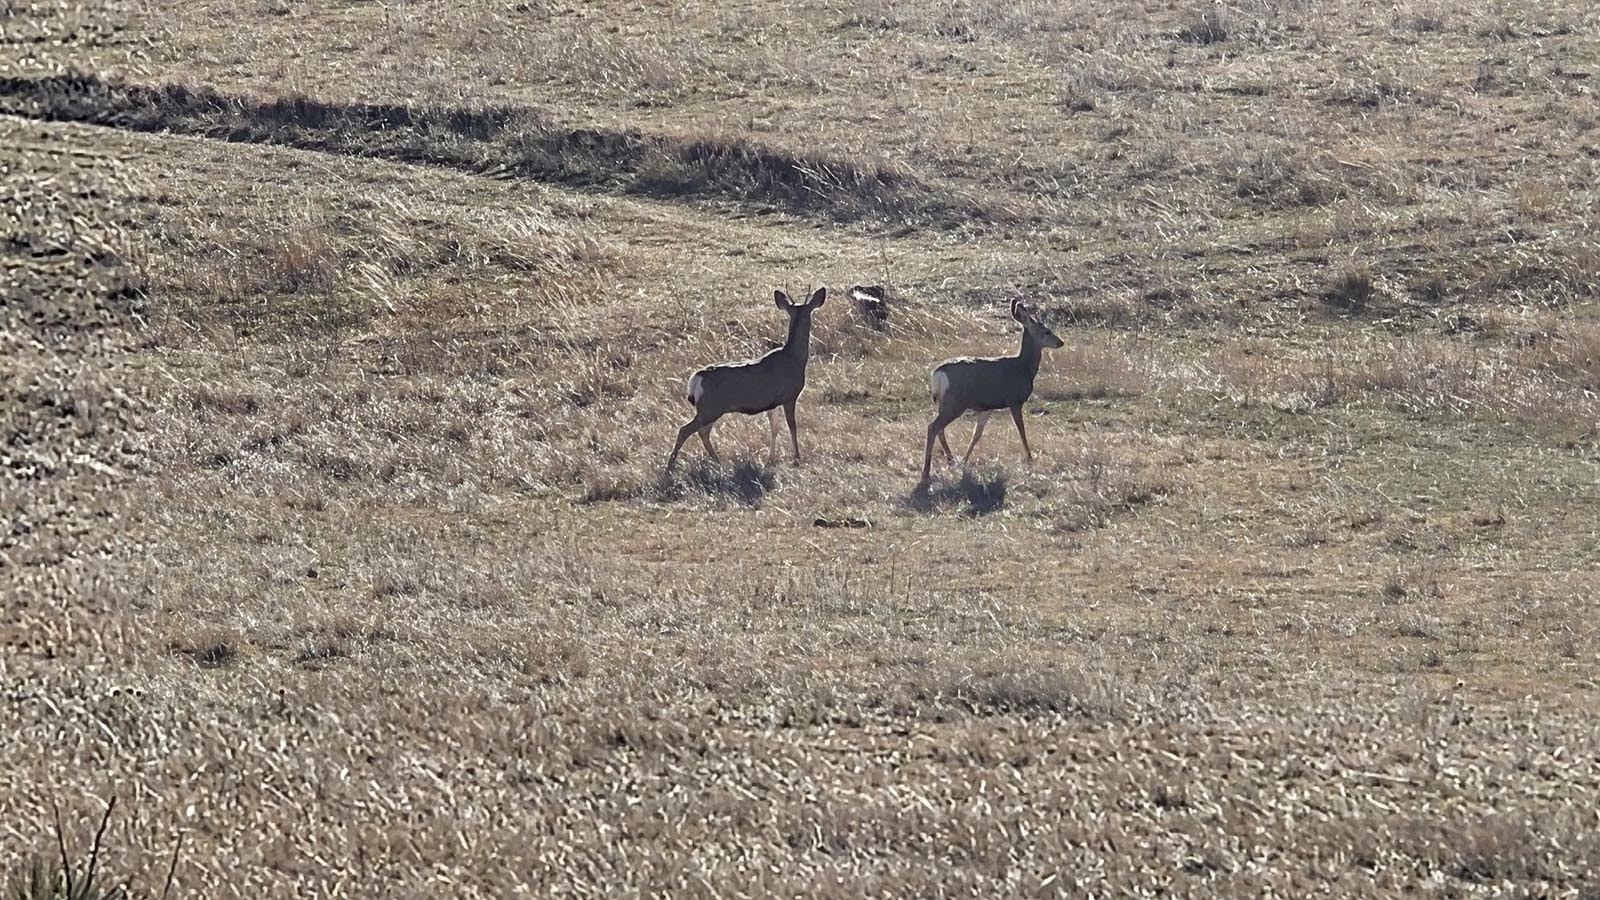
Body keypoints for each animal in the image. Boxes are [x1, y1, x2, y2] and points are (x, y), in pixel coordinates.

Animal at [666, 287, 827, 472]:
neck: (795, 358)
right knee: (685, 430)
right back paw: (670, 466)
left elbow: (774, 428)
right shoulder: (790, 395)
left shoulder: (772, 403)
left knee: (702, 432)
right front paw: (797, 459)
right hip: (710, 408)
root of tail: (696, 378)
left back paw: (717, 462)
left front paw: (770, 460)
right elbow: (792, 426)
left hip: (710, 409)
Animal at [920, 298, 1064, 483]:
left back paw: (951, 461)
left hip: (945, 402)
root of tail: (938, 373)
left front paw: (964, 461)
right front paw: (1030, 458)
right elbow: (1021, 430)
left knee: (940, 429)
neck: (1023, 367)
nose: (1060, 342)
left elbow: (977, 434)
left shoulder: (987, 407)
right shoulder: (1014, 400)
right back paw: (926, 472)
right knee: (933, 427)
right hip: (955, 402)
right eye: (1047, 331)